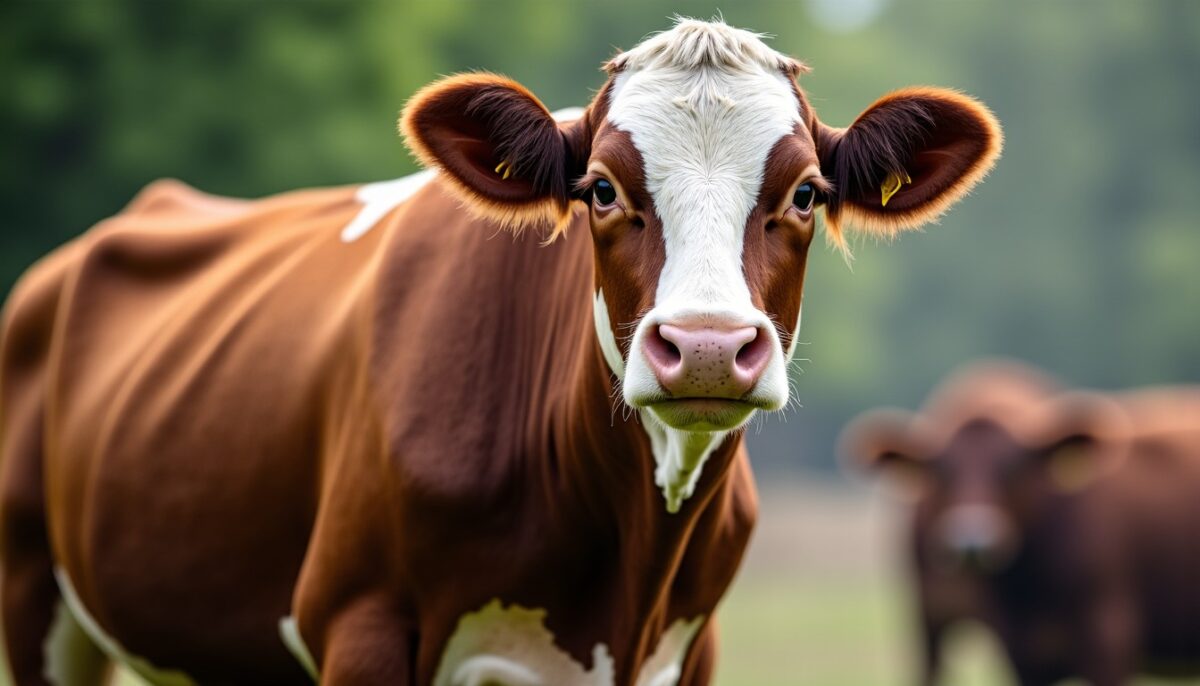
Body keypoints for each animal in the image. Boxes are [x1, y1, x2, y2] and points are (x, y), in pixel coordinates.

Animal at [0, 18, 1001, 686]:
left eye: (804, 192)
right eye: (601, 188)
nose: (709, 347)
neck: (619, 580)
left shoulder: (687, 650)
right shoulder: (359, 620)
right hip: (30, 587)